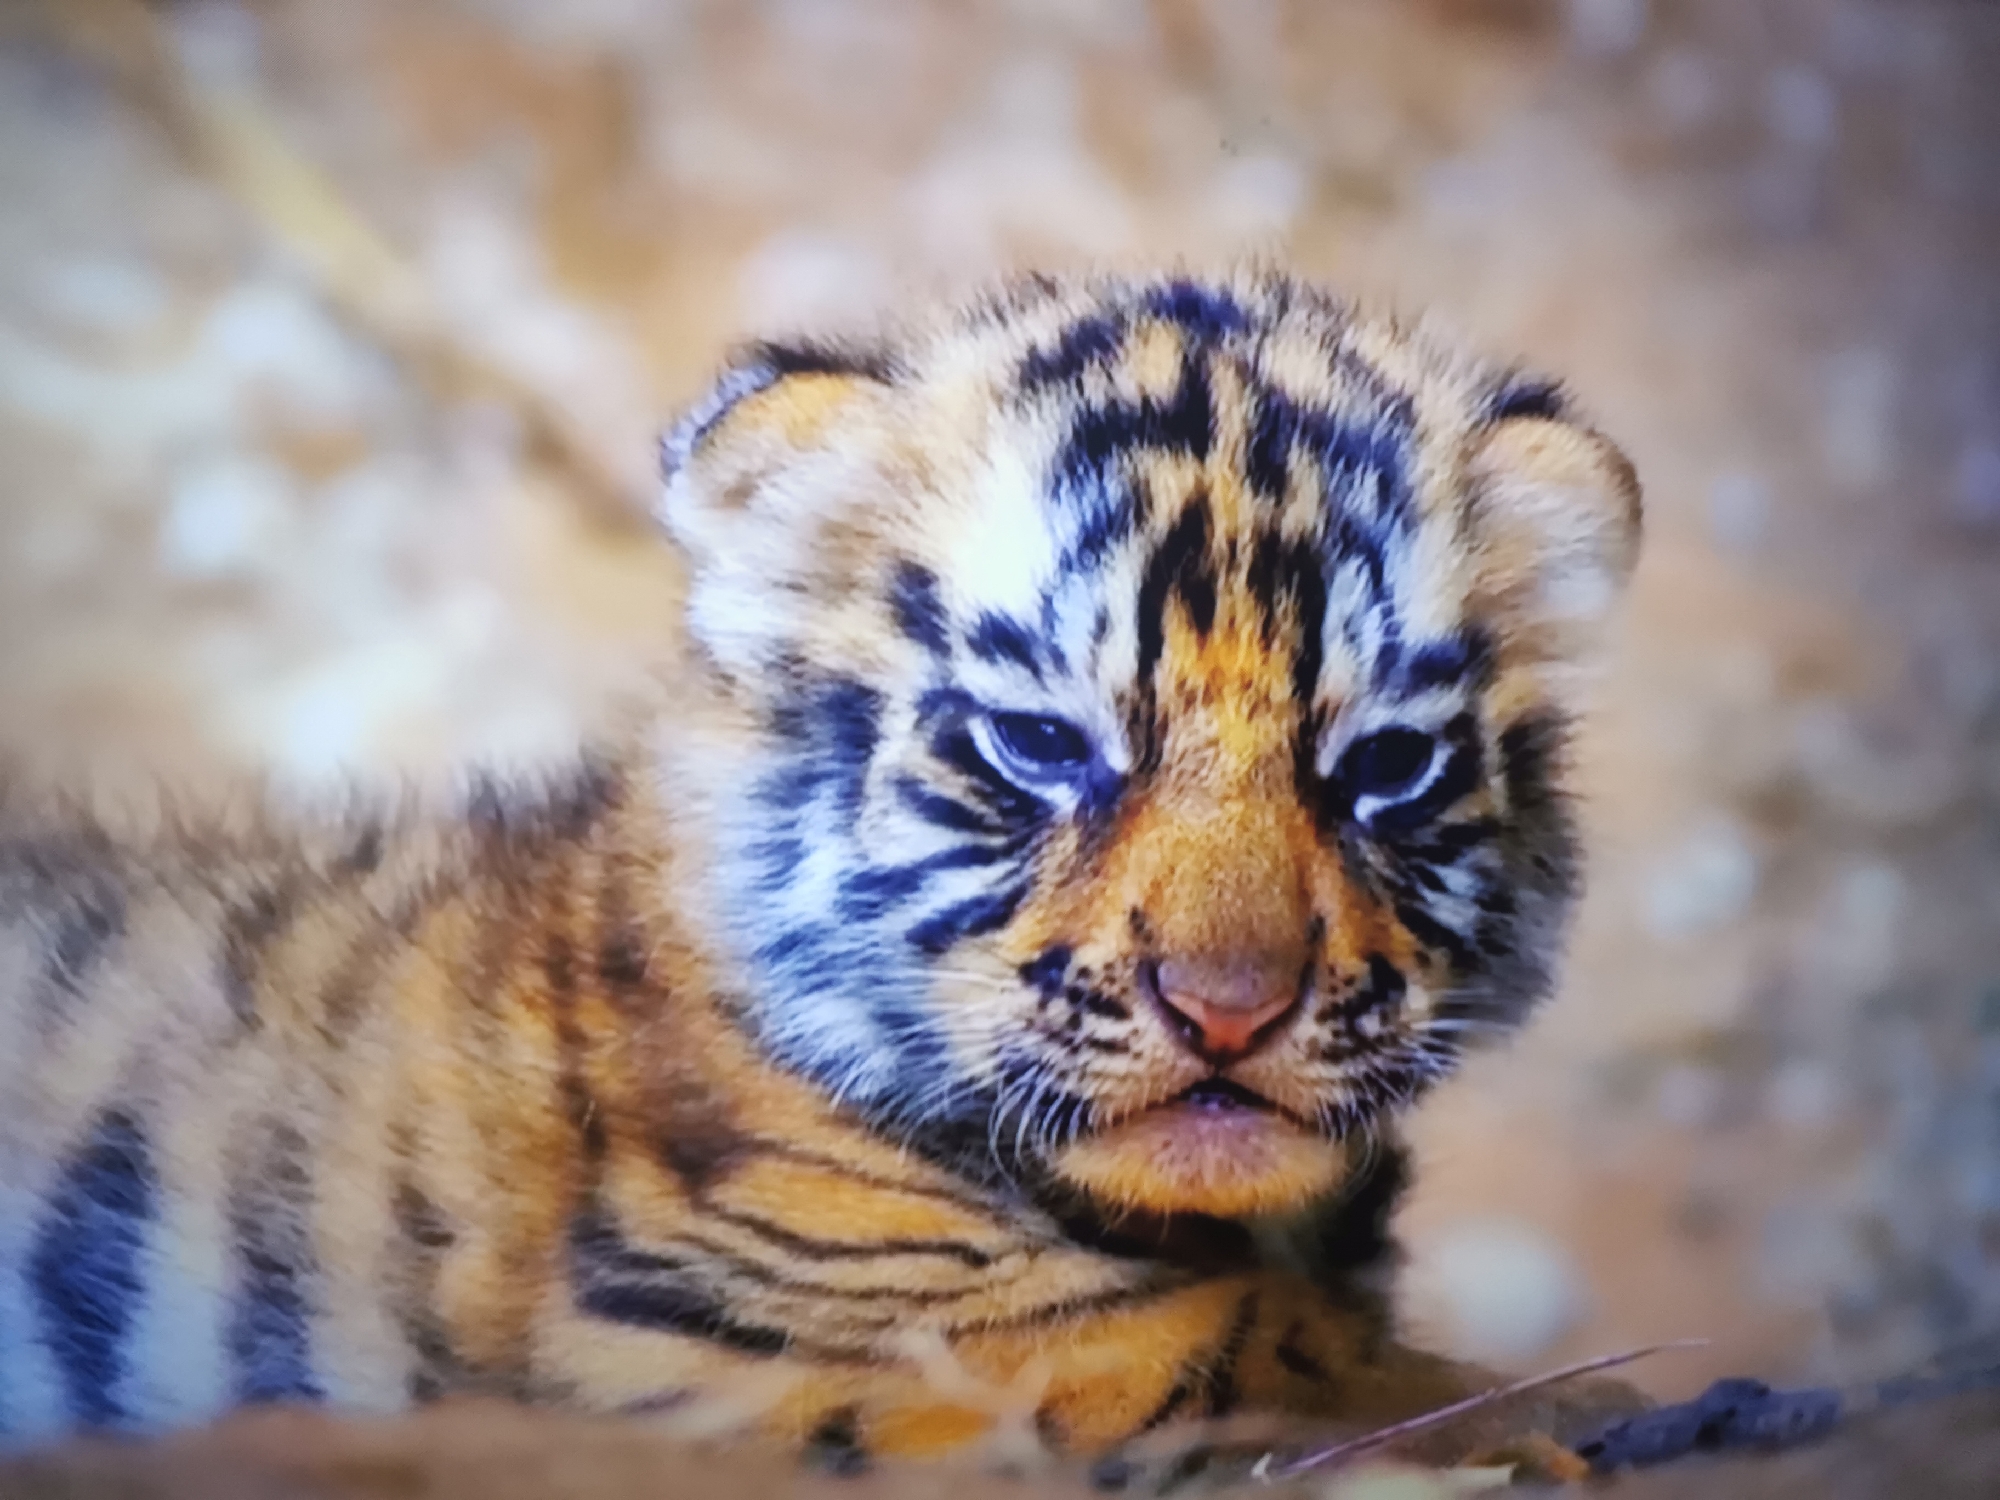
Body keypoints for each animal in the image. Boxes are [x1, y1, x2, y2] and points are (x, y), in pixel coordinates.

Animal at [0, 269, 1645, 1475]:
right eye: (1040, 743)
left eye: (1385, 765)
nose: (1228, 1007)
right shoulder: (738, 1329)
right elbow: (1257, 1345)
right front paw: (1571, 1414)